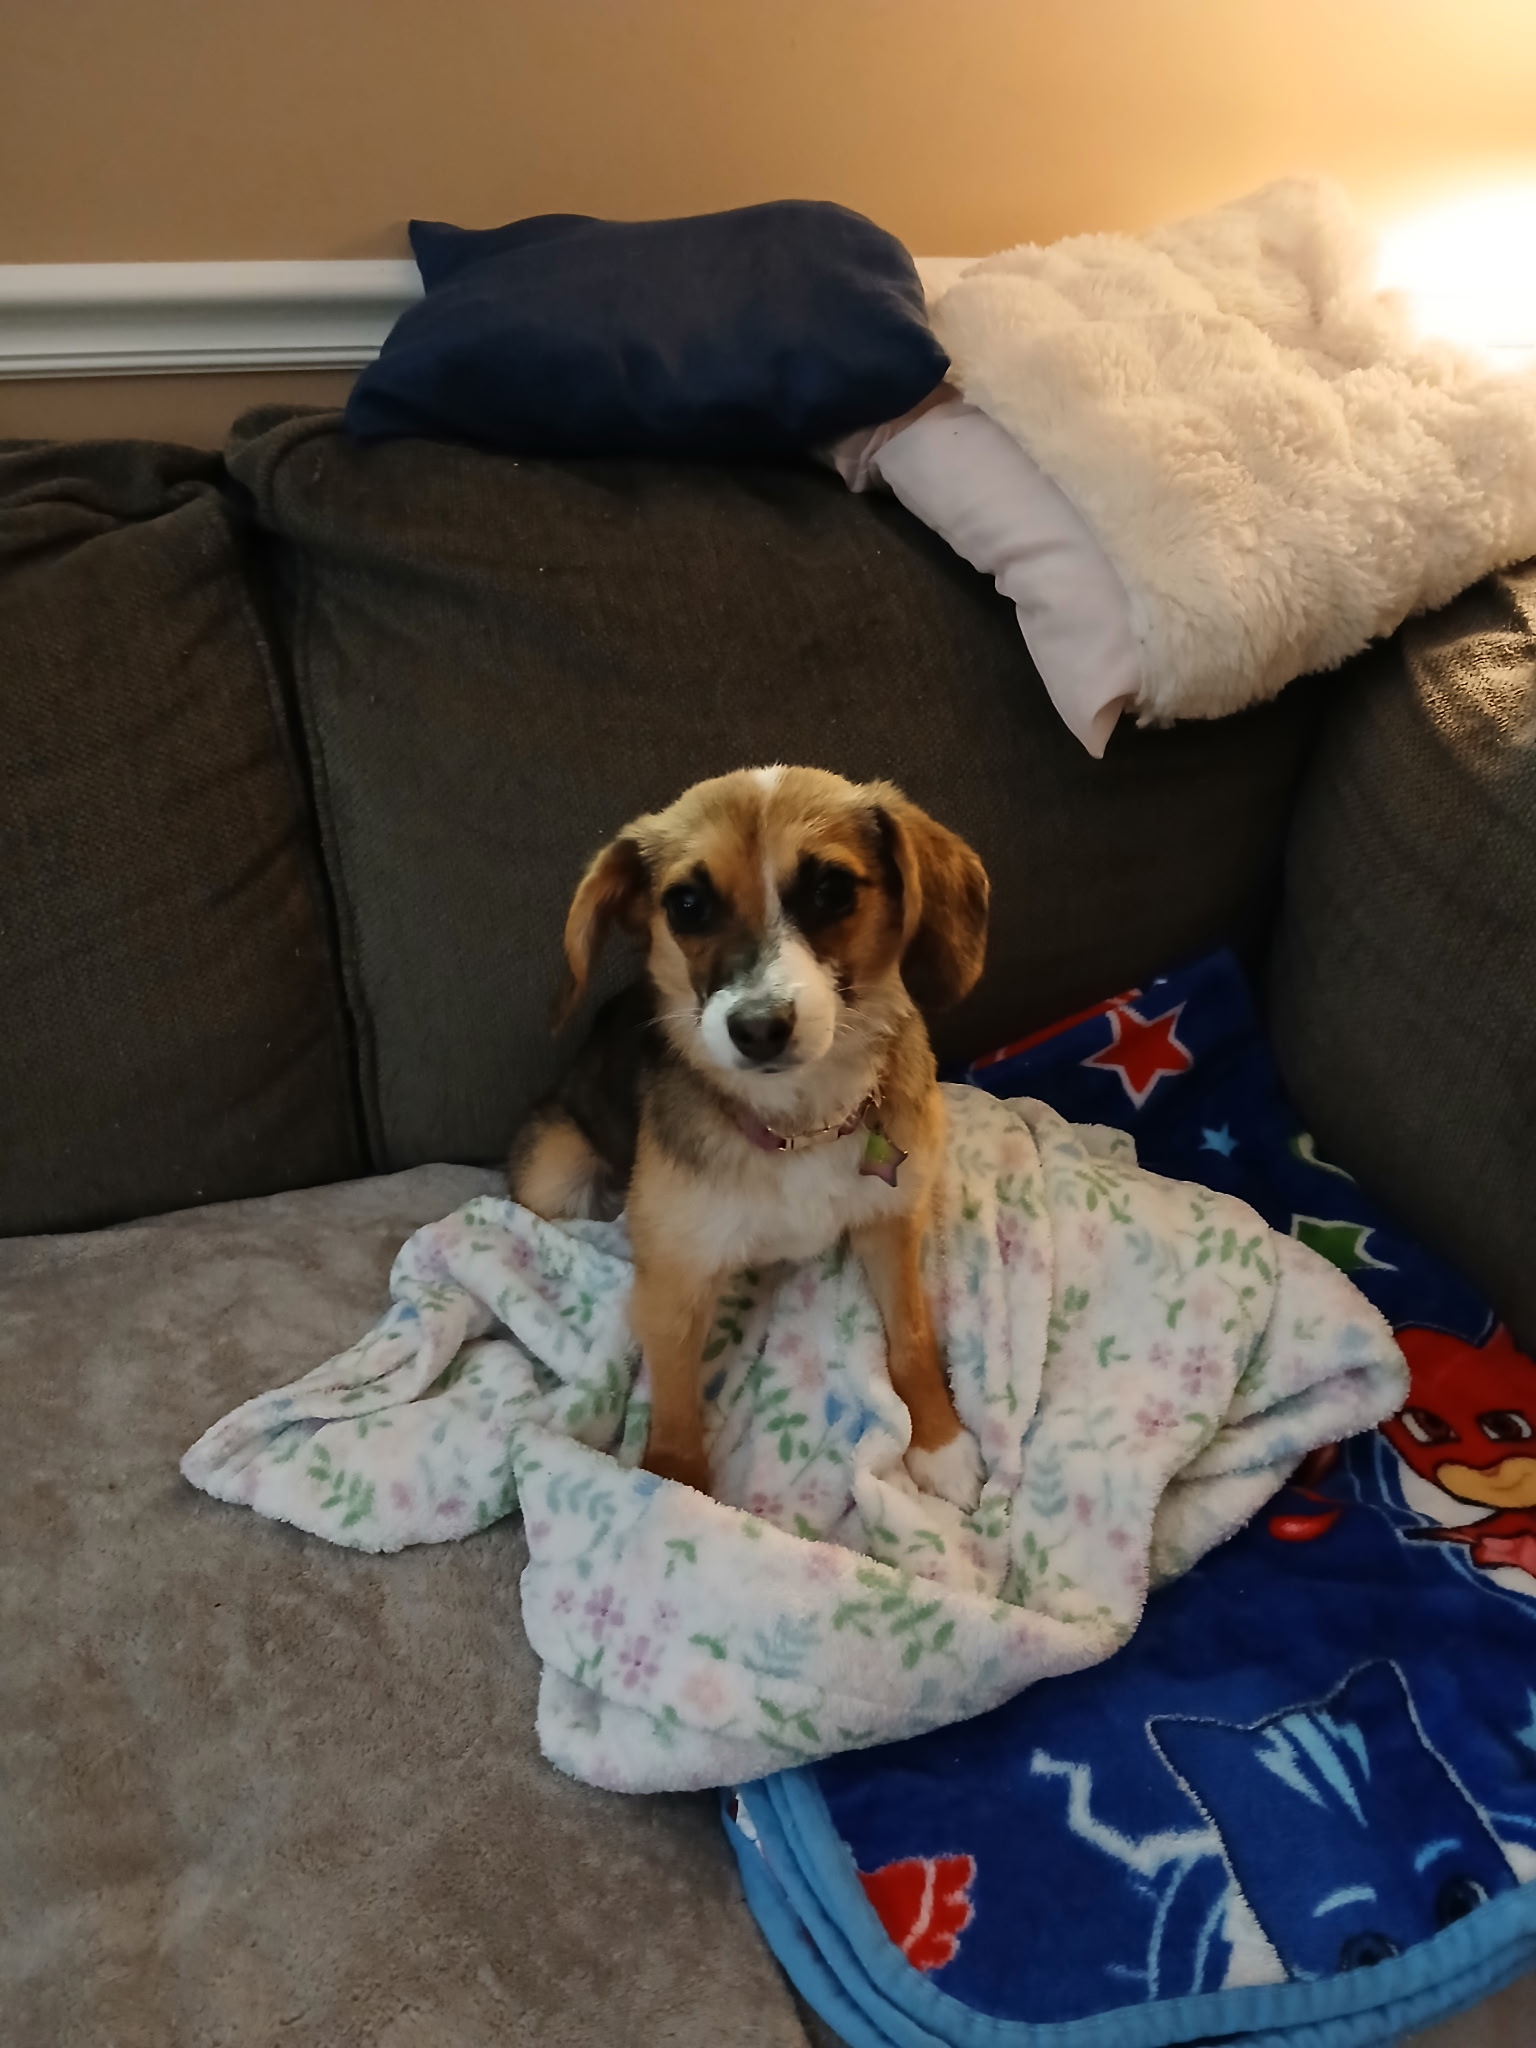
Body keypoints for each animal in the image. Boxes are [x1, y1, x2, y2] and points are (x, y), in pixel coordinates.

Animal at [509, 766, 989, 1510]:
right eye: (686, 904)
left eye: (831, 890)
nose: (759, 1028)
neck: (797, 1125)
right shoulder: (674, 1282)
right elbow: (676, 1412)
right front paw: (677, 1496)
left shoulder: (890, 1222)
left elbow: (911, 1336)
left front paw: (939, 1442)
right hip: (553, 1171)